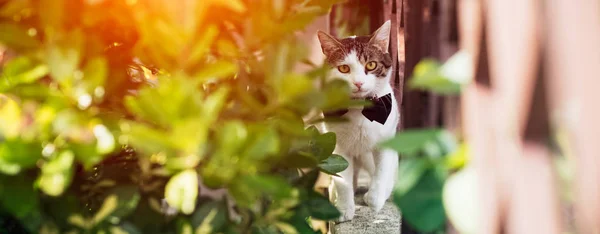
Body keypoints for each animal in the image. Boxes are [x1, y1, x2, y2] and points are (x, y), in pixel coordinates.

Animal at [316, 20, 400, 223]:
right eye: (344, 68)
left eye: (371, 64)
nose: (359, 83)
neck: (359, 109)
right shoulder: (337, 144)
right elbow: (342, 179)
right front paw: (344, 208)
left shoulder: (387, 137)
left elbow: (382, 170)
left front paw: (375, 199)